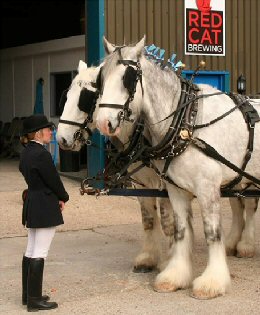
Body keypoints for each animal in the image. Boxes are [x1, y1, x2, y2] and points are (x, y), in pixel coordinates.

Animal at [95, 37, 260, 298]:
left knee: (250, 206)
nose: (103, 122)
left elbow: (212, 232)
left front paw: (212, 282)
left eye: (128, 78)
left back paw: (245, 245)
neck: (187, 122)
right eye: (101, 79)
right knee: (238, 206)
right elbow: (181, 231)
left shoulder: (207, 188)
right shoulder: (176, 190)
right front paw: (175, 276)